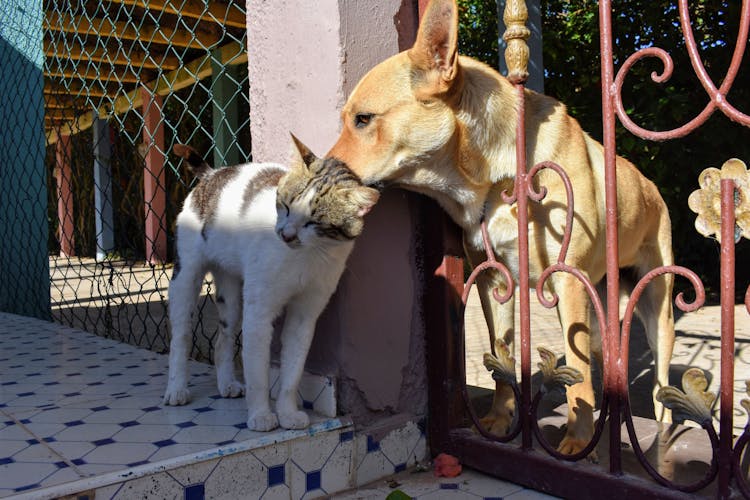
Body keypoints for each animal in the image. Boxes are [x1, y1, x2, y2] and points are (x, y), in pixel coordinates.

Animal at [162, 136, 378, 430]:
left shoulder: (305, 315)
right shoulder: (259, 313)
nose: (285, 235)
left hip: (232, 295)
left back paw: (227, 384)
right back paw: (176, 390)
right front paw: (261, 416)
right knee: (181, 336)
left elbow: (292, 373)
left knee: (223, 340)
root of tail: (211, 174)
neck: (307, 256)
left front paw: (287, 414)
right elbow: (258, 375)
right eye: (285, 205)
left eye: (314, 222)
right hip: (186, 278)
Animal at [326, 0, 680, 456]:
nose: (316, 171)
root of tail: (653, 189)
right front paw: (499, 417)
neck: (499, 178)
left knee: (657, 382)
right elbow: (503, 357)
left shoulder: (568, 283)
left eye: (364, 119)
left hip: (657, 311)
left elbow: (577, 377)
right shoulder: (494, 282)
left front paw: (577, 439)